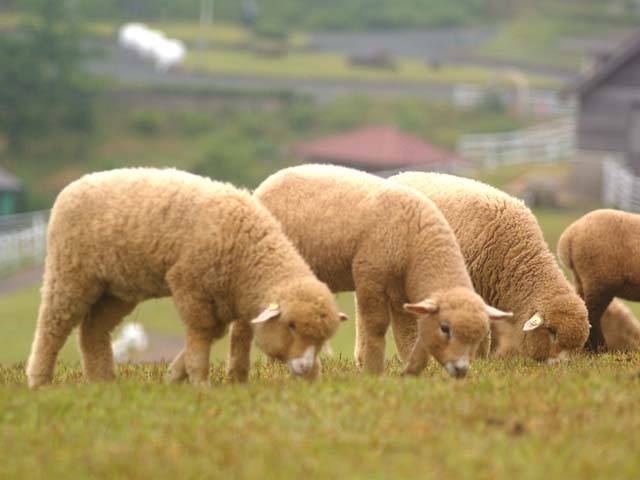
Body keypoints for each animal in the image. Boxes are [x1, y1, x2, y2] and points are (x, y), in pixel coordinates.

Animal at [26, 168, 344, 388]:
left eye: (323, 338)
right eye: (291, 326)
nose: (306, 370)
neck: (247, 257)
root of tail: (72, 187)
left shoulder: (219, 300)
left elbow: (207, 336)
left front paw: (173, 377)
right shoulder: (191, 287)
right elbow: (200, 338)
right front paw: (199, 382)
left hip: (116, 288)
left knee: (92, 331)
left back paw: (103, 382)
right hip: (70, 273)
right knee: (53, 324)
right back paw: (39, 381)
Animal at [251, 164, 511, 379]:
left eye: (479, 334)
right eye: (445, 329)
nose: (461, 370)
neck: (416, 244)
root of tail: (266, 183)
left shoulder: (400, 291)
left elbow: (406, 331)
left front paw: (409, 367)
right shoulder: (370, 275)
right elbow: (376, 326)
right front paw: (373, 370)